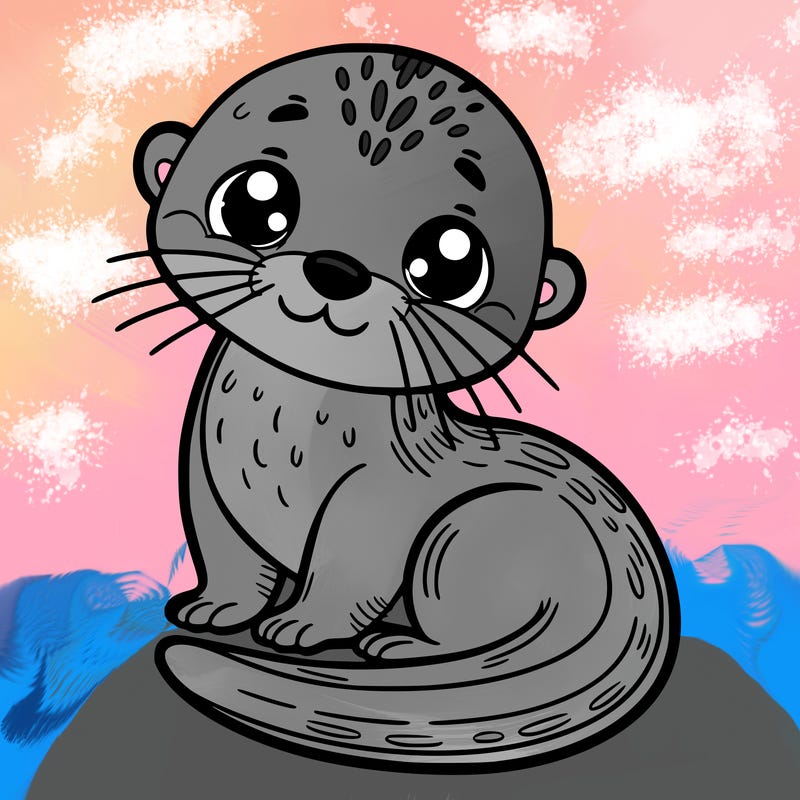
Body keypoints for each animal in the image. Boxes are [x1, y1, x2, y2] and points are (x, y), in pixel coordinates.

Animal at [104, 44, 679, 770]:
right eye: (255, 200)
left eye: (450, 262)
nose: (335, 268)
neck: (276, 433)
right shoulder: (206, 473)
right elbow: (226, 551)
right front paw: (216, 608)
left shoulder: (376, 498)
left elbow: (353, 567)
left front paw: (301, 624)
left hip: (471, 531)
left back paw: (401, 645)